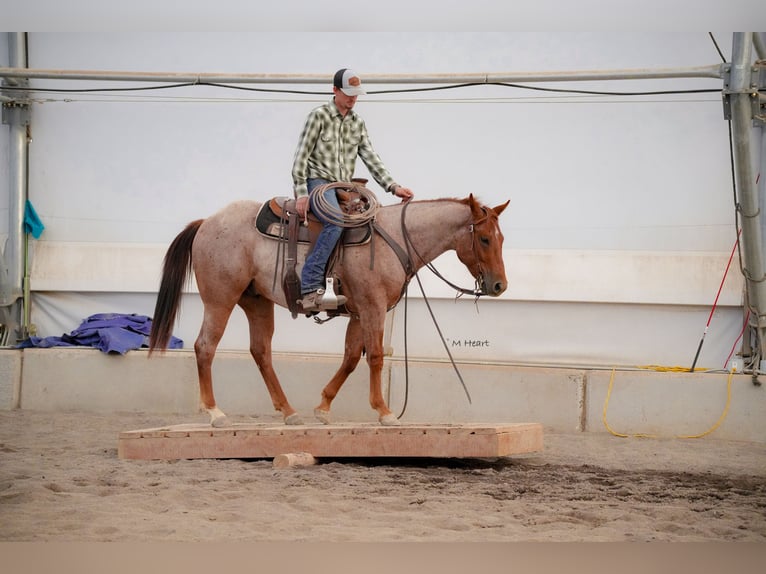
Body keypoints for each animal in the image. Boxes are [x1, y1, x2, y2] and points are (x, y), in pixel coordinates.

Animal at [148, 194, 509, 427]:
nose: (499, 286)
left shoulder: (360, 312)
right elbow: (374, 356)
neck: (395, 238)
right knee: (205, 346)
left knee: (261, 351)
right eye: (485, 239)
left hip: (256, 301)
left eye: (501, 238)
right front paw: (385, 412)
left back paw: (289, 411)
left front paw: (322, 407)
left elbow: (350, 358)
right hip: (220, 299)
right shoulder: (374, 307)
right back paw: (215, 412)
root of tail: (206, 222)